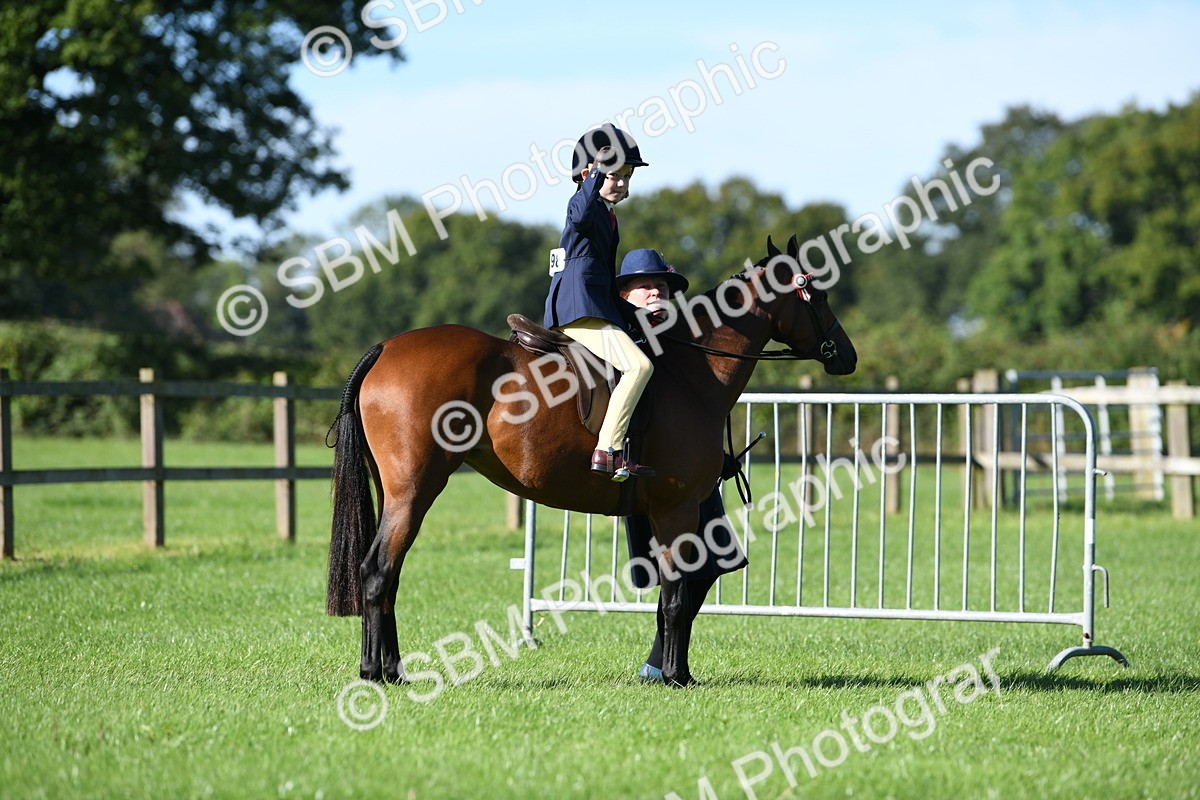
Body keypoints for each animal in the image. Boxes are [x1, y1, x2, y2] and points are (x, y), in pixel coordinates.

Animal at [326, 234, 858, 687]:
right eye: (816, 292)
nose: (846, 355)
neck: (690, 371)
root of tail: (386, 348)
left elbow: (678, 595)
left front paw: (669, 671)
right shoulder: (677, 511)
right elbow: (676, 597)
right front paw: (675, 676)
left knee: (388, 576)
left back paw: (388, 669)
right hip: (414, 492)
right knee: (377, 571)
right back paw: (377, 673)